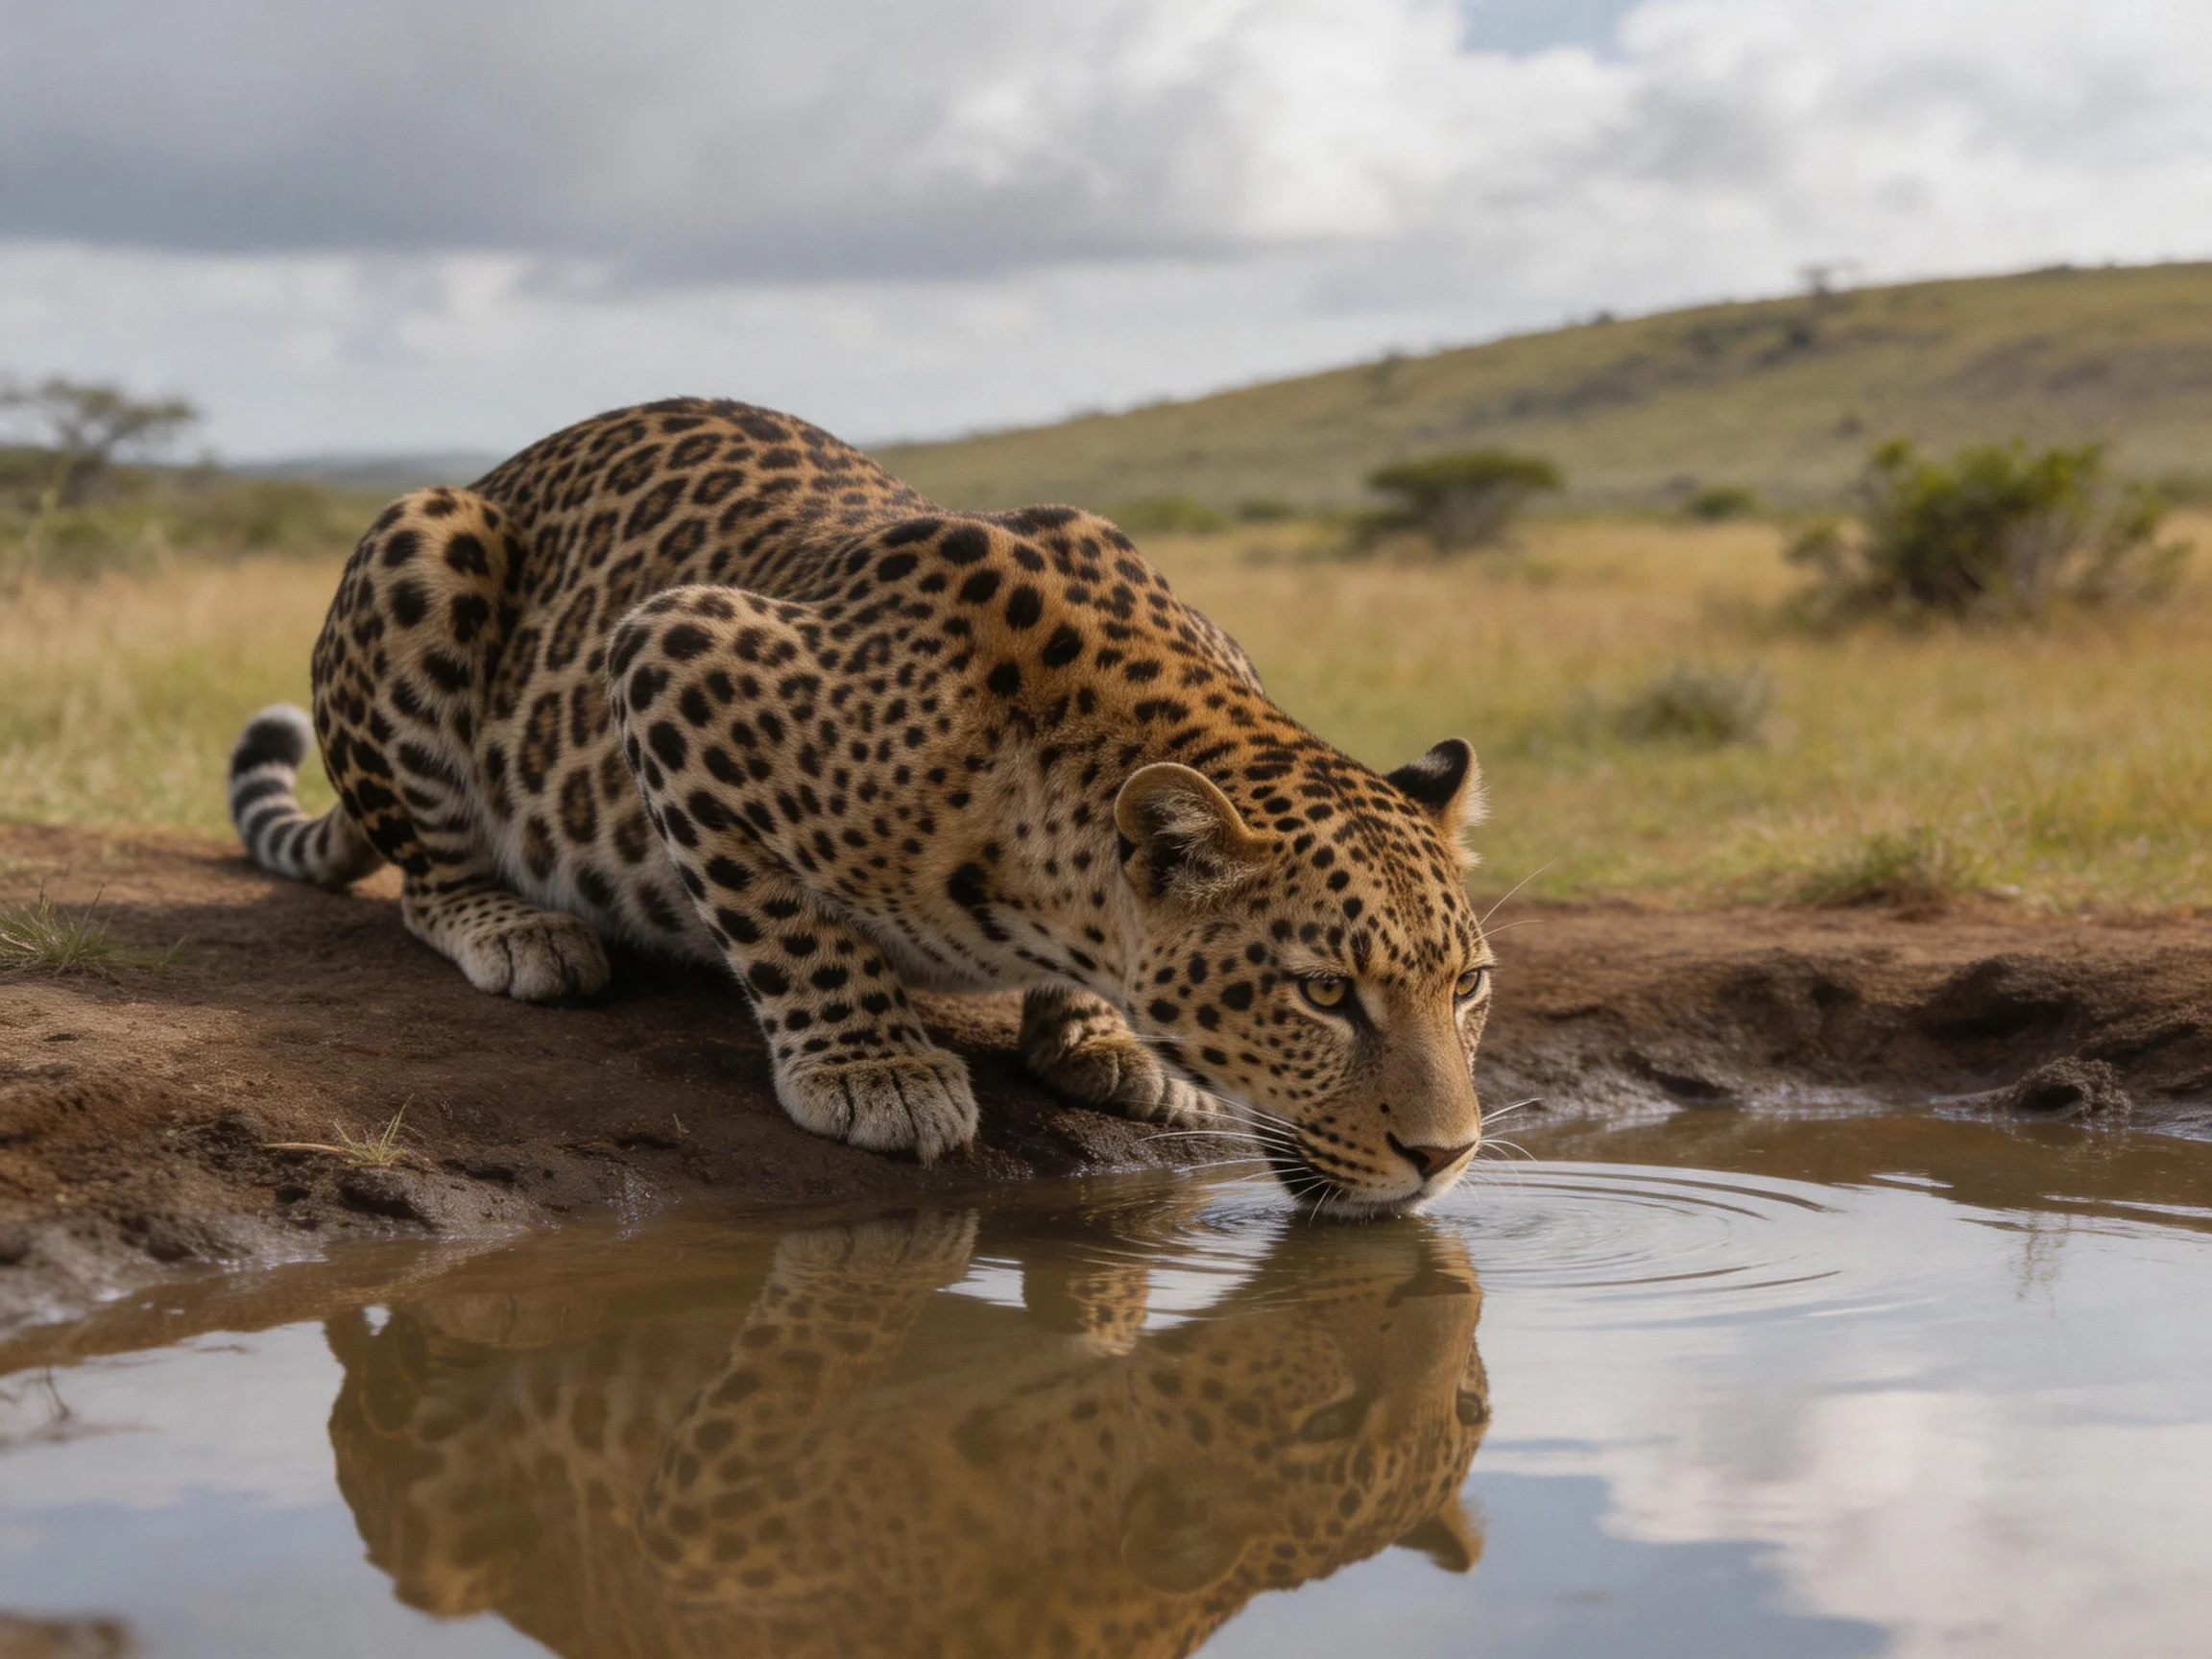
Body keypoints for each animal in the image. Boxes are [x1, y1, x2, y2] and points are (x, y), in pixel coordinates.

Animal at [228, 397, 1494, 1213]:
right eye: (1323, 994)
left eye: (1468, 986)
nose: (1448, 1158)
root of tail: (496, 473)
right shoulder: (674, 653)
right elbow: (789, 923)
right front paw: (875, 1070)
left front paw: (1098, 1043)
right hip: (425, 540)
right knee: (426, 878)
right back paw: (519, 929)